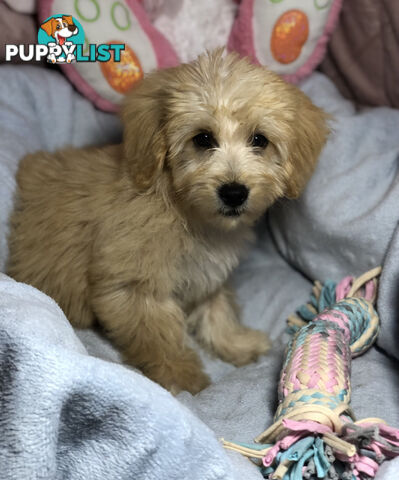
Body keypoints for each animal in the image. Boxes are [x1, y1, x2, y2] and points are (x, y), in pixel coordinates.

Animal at [7, 50, 330, 394]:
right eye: (203, 139)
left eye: (259, 140)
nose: (234, 192)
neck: (183, 209)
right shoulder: (134, 286)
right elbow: (157, 335)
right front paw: (181, 377)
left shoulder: (207, 274)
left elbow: (217, 310)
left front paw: (236, 343)